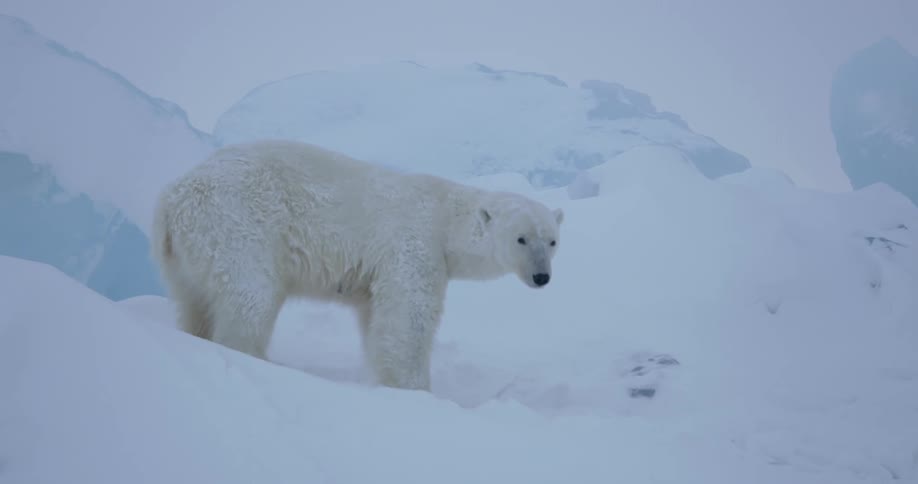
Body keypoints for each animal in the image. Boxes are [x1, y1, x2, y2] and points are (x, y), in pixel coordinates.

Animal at [150, 139, 564, 391]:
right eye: (521, 239)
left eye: (552, 241)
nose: (541, 276)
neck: (445, 217)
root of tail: (173, 198)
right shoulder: (414, 243)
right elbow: (408, 317)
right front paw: (417, 389)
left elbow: (377, 321)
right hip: (237, 224)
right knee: (251, 296)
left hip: (187, 253)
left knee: (194, 302)